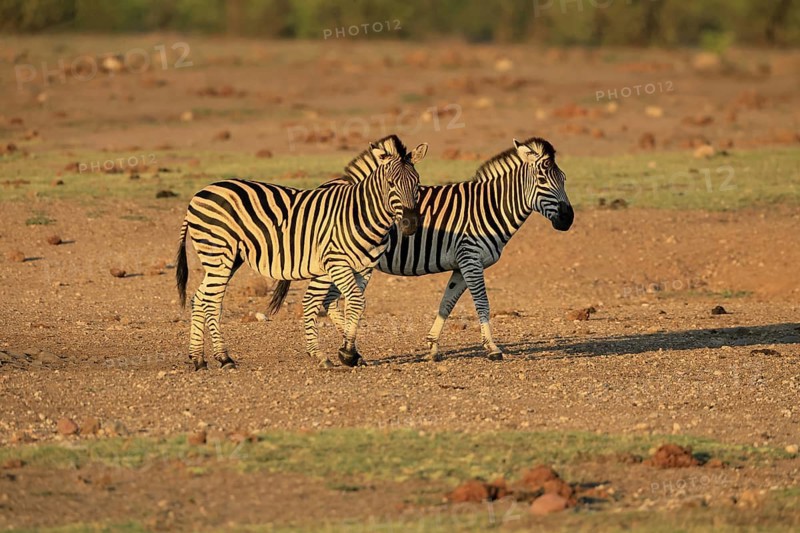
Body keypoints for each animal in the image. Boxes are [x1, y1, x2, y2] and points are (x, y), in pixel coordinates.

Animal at [175, 135, 428, 370]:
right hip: (219, 253)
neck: (360, 213)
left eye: (417, 184)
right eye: (391, 183)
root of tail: (199, 193)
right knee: (211, 301)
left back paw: (198, 358)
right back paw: (224, 358)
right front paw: (343, 353)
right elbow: (351, 301)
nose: (410, 225)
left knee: (199, 297)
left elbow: (349, 304)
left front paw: (349, 352)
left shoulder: (363, 268)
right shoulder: (336, 263)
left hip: (227, 258)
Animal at [292, 137, 573, 363]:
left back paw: (348, 347)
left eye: (564, 179)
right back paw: (347, 348)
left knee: (329, 302)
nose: (568, 219)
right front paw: (492, 348)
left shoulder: (462, 265)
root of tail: (324, 185)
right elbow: (482, 302)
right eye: (542, 180)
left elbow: (446, 303)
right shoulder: (471, 258)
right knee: (326, 301)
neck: (489, 207)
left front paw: (433, 347)